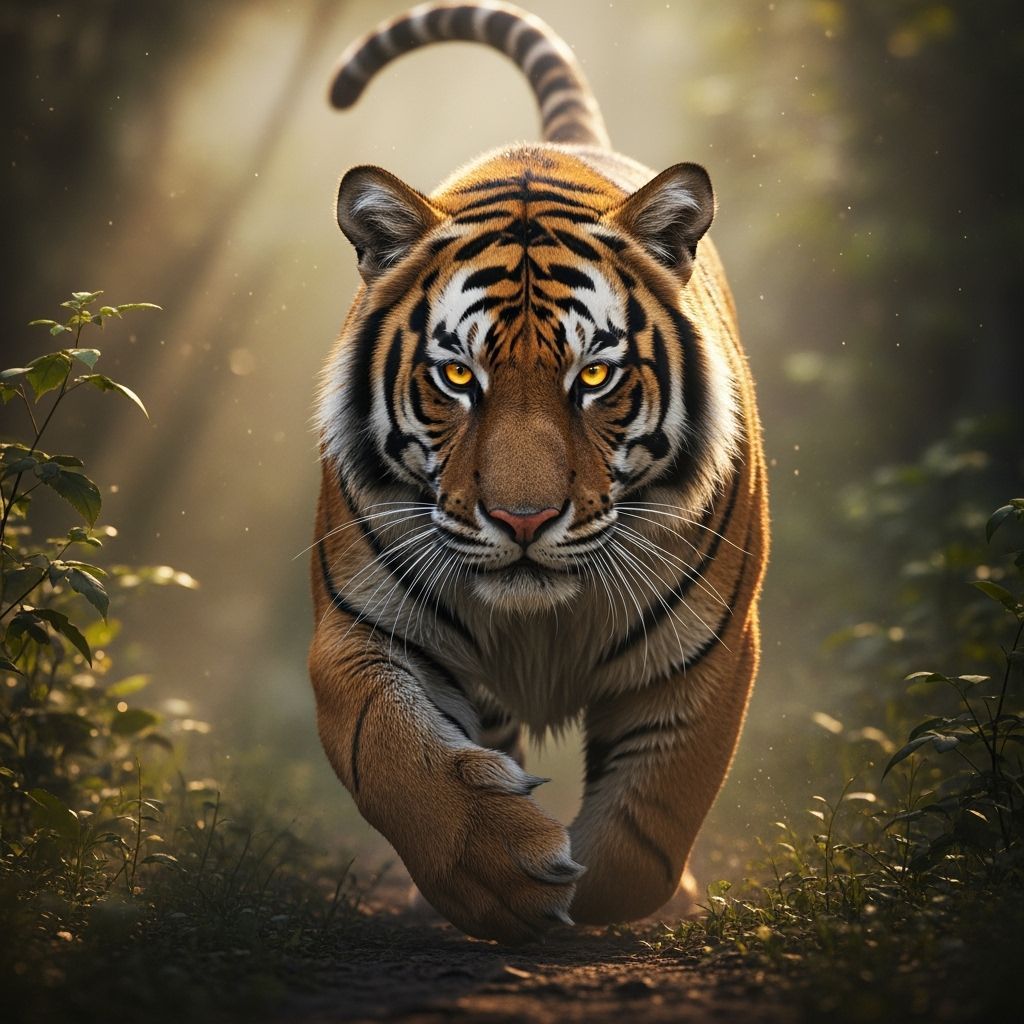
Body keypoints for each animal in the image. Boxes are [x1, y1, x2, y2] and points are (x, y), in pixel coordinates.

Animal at [310, 1, 769, 944]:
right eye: (458, 376)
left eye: (592, 377)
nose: (522, 521)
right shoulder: (357, 629)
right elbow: (397, 757)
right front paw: (499, 870)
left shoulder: (708, 651)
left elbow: (648, 827)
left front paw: (589, 892)